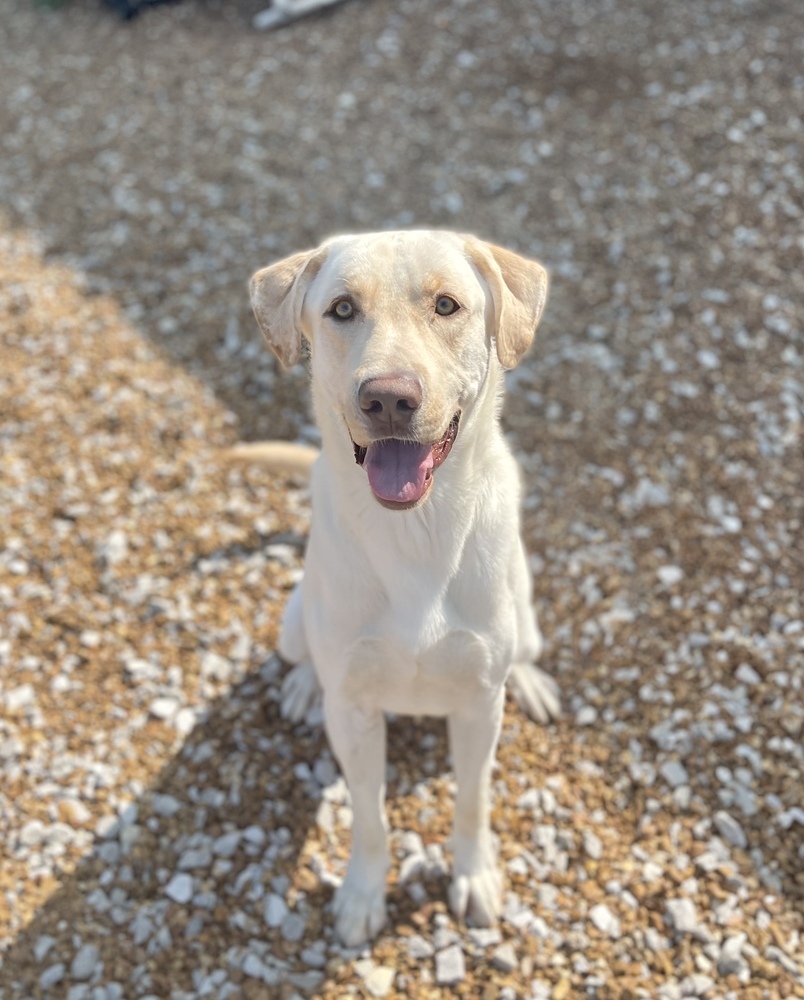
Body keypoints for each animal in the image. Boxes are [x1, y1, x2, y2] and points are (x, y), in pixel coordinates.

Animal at [247, 232, 560, 944]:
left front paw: (474, 876)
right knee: (303, 654)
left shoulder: (478, 706)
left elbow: (472, 801)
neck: (416, 531)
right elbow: (369, 816)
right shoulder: (356, 712)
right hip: (292, 618)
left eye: (446, 305)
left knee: (525, 652)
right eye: (341, 308)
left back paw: (531, 681)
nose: (388, 398)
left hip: (525, 617)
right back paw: (304, 684)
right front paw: (363, 895)